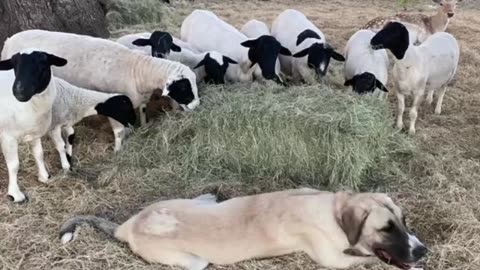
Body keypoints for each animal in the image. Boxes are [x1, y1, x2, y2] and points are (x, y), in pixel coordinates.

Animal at [0, 48, 68, 202]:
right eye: (15, 66)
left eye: (42, 64)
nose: (19, 91)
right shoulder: (8, 137)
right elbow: (14, 165)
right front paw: (15, 194)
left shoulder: (34, 133)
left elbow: (39, 154)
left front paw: (44, 176)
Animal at [2, 30, 200, 152]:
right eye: (183, 86)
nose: (197, 106)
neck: (136, 70)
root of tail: (9, 39)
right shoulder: (114, 104)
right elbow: (118, 131)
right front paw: (118, 151)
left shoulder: (138, 100)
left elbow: (142, 113)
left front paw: (141, 128)